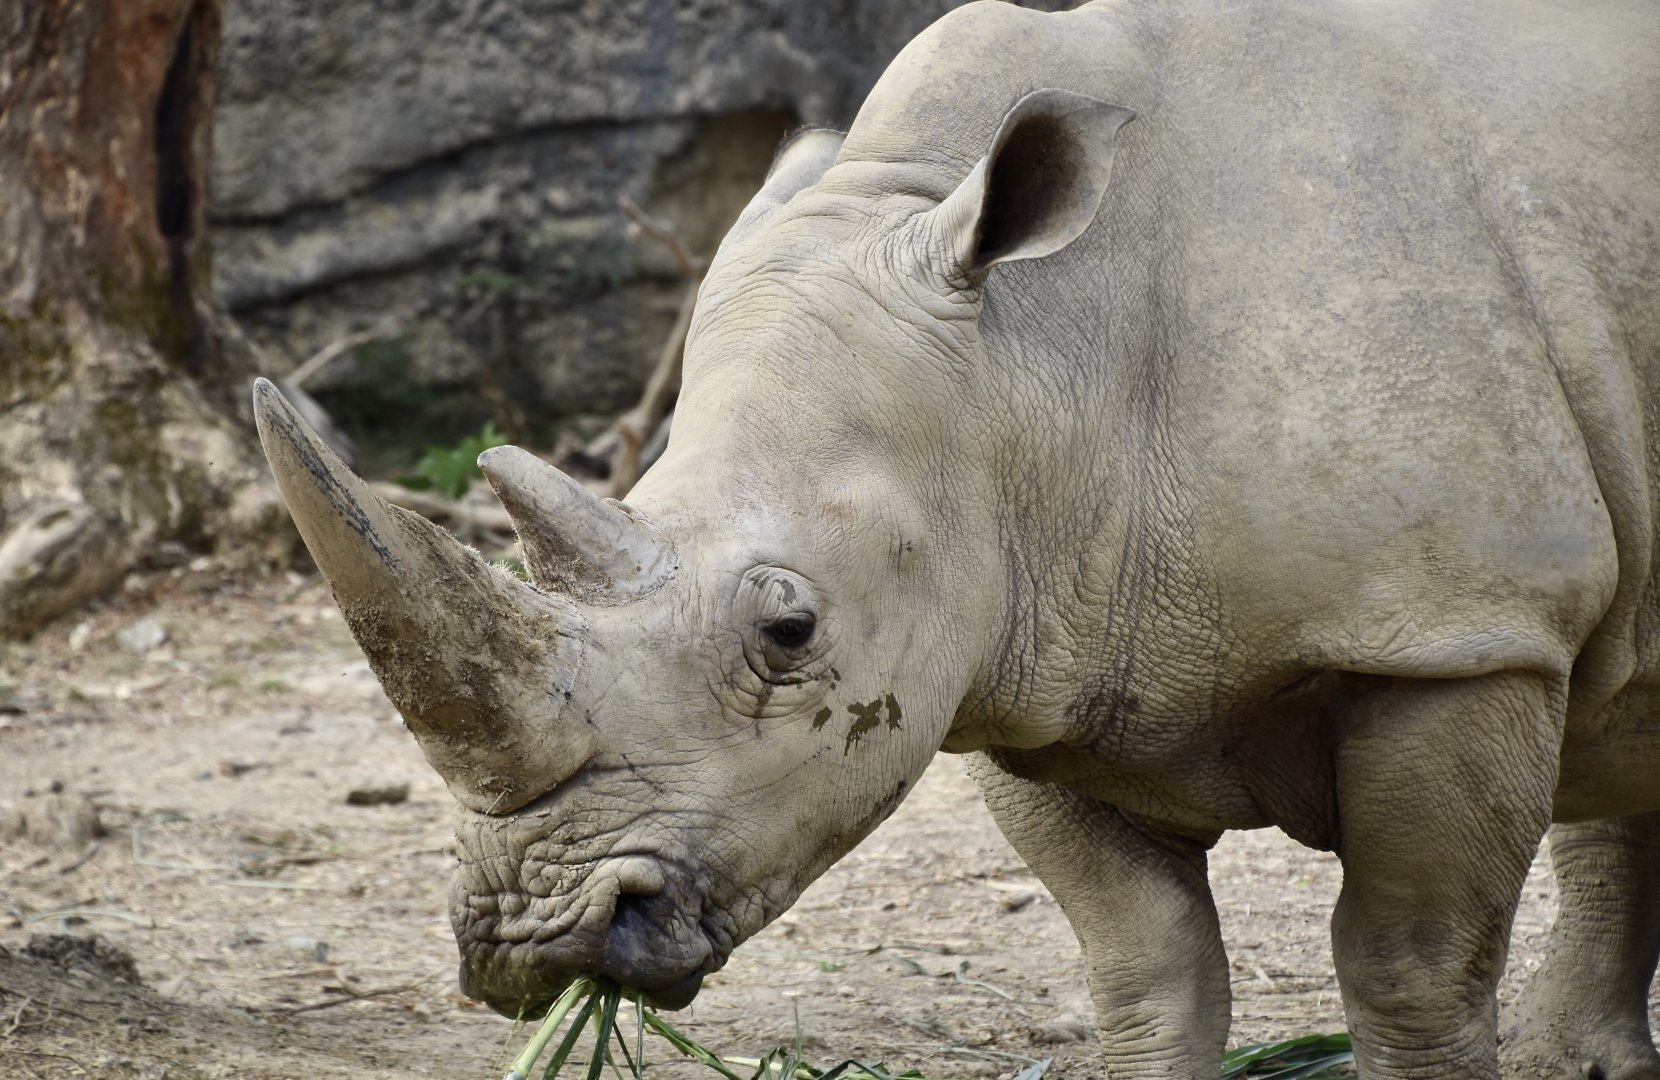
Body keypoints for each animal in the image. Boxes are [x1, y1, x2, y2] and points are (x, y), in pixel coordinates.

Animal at [251, 0, 1660, 1076]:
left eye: (788, 630)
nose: (527, 941)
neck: (1031, 362)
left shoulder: (1458, 629)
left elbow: (1410, 969)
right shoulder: (1039, 652)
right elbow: (1146, 969)